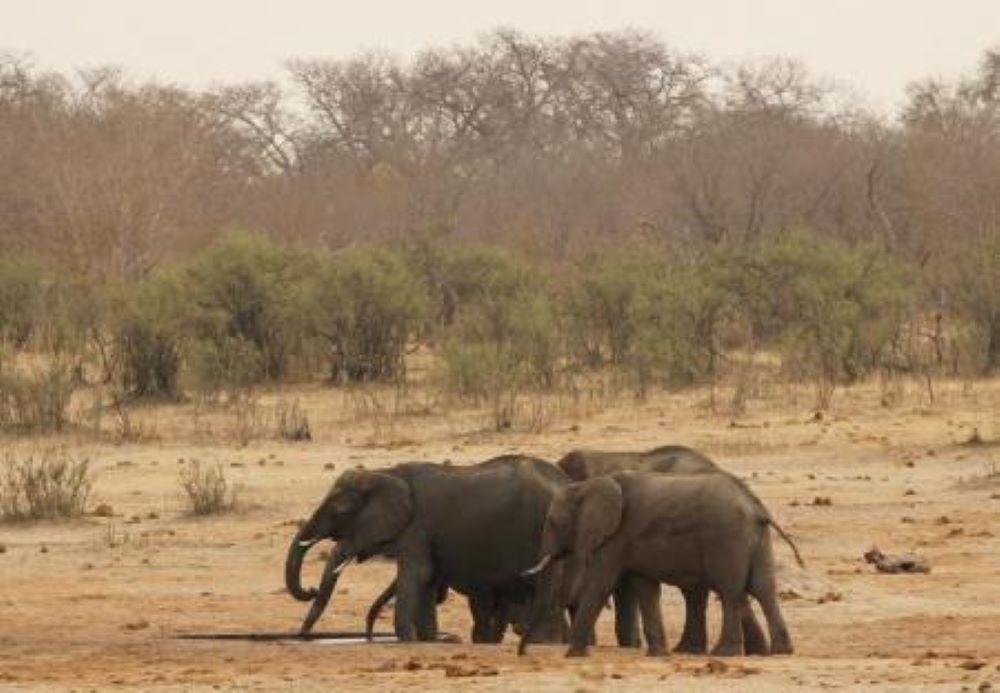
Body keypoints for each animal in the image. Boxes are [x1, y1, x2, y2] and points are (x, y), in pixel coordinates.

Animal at [284, 454, 569, 643]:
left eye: (341, 511)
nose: (310, 590)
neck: (386, 472)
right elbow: (427, 580)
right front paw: (427, 640)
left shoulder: (416, 528)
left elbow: (416, 574)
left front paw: (406, 641)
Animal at [554, 444, 801, 655]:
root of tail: (757, 507)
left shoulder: (616, 536)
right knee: (759, 586)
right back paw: (770, 651)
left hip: (721, 537)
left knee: (726, 588)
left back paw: (728, 652)